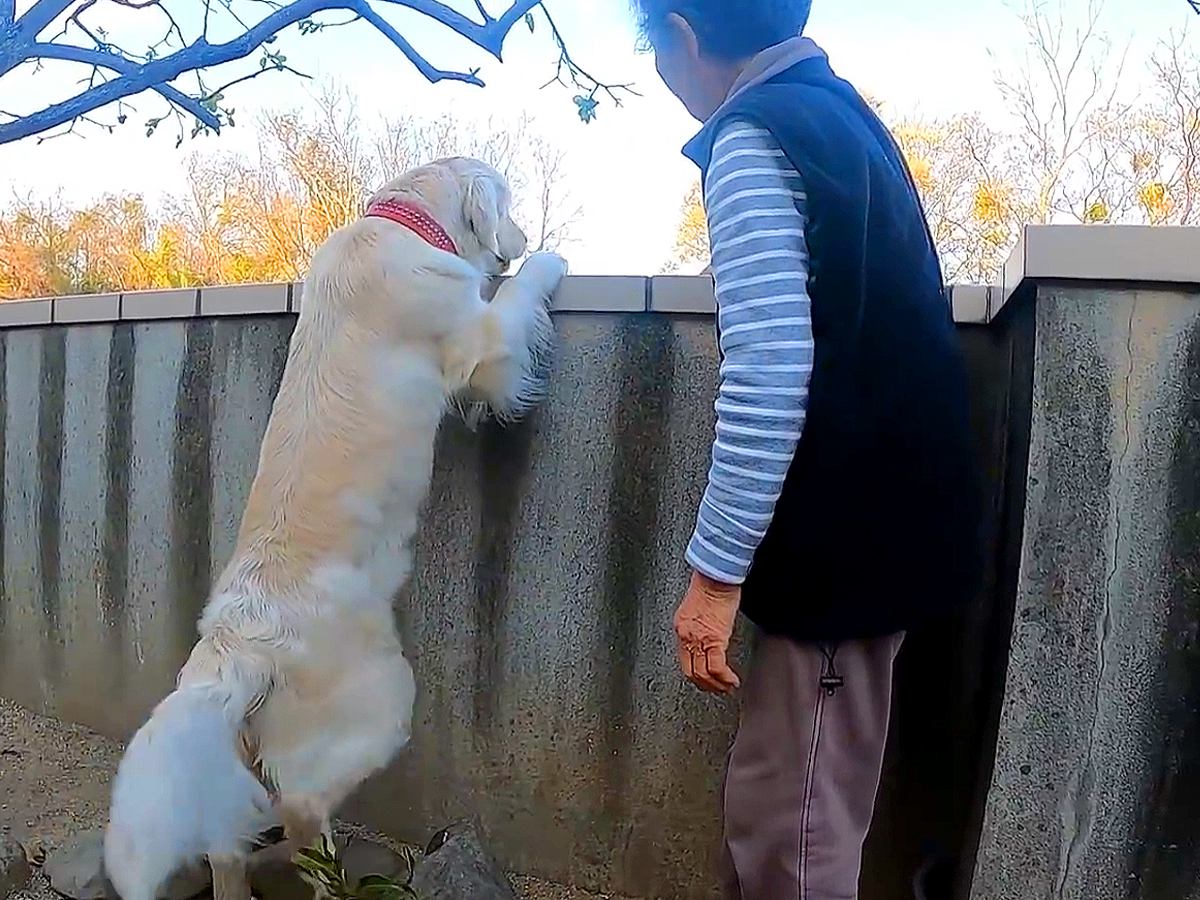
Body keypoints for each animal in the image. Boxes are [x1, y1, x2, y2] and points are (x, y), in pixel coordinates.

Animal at [100, 157, 564, 900]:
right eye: (510, 204)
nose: (517, 240)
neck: (396, 221)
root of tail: (234, 645)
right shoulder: (480, 346)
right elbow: (514, 306)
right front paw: (549, 260)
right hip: (384, 702)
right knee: (301, 806)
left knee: (228, 841)